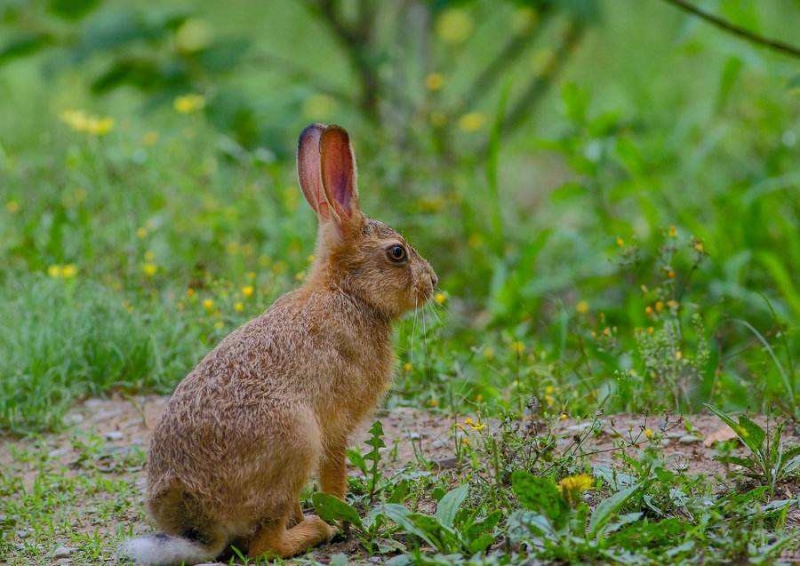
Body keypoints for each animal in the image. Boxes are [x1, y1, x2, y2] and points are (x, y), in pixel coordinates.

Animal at [120, 125, 438, 566]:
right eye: (397, 253)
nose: (433, 282)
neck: (349, 293)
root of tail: (202, 523)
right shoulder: (334, 426)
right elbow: (334, 475)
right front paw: (339, 517)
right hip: (296, 439)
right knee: (264, 547)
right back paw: (316, 530)